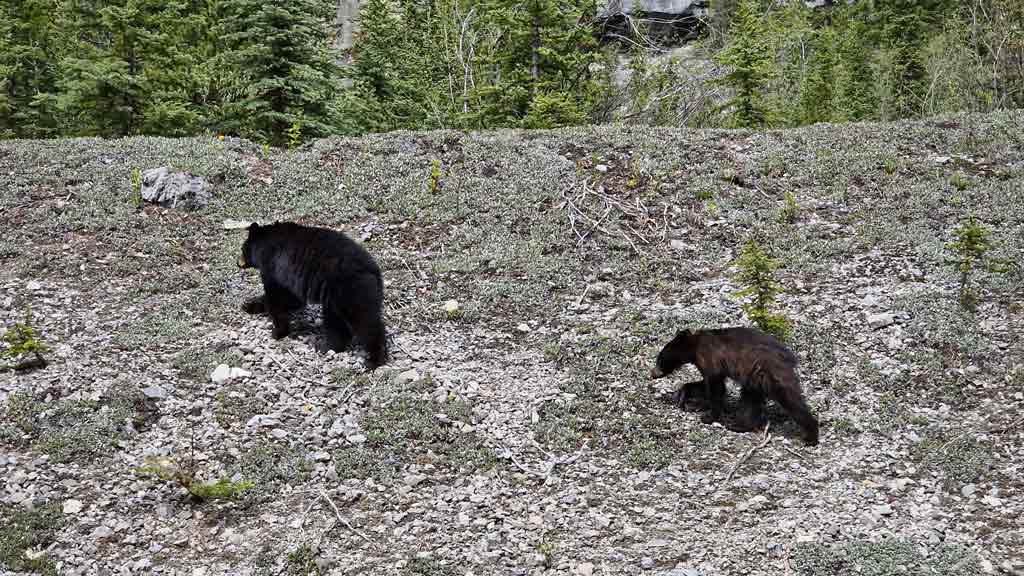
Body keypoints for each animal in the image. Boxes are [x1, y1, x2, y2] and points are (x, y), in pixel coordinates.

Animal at [237, 219, 389, 366]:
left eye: (242, 249)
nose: (238, 263)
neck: (265, 243)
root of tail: (374, 270)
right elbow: (292, 299)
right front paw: (248, 305)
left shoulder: (272, 267)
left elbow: (276, 298)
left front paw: (278, 331)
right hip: (334, 299)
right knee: (335, 323)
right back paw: (326, 347)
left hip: (352, 290)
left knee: (365, 322)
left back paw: (374, 359)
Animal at [651, 327, 819, 444]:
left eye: (659, 359)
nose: (652, 373)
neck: (695, 347)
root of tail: (789, 358)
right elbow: (707, 384)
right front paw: (683, 395)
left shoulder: (709, 357)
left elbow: (715, 386)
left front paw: (709, 416)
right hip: (755, 379)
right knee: (750, 400)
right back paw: (739, 425)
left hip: (771, 374)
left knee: (790, 399)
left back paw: (811, 435)